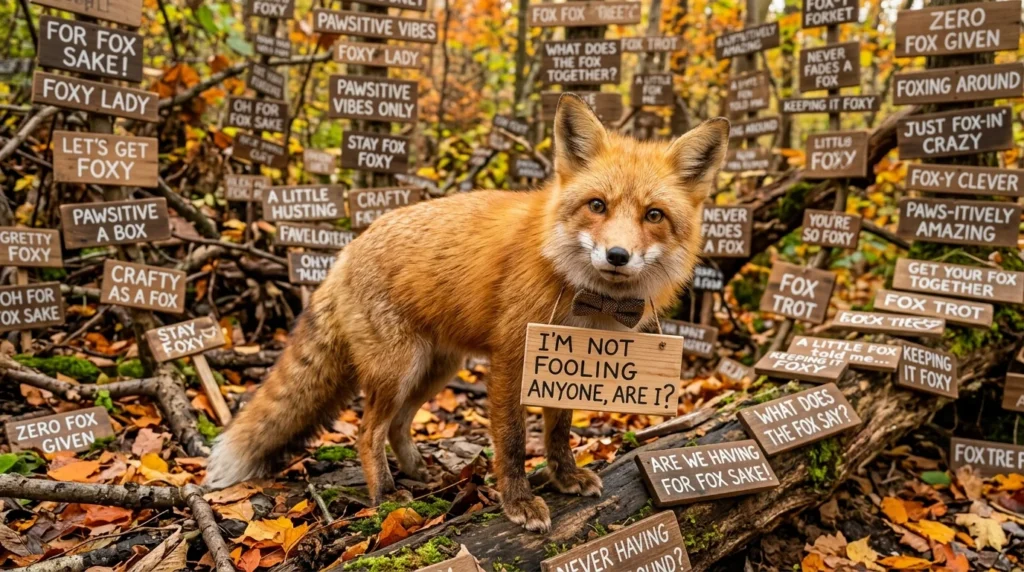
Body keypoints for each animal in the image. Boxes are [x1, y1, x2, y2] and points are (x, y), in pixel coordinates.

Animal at [205, 94, 729, 532]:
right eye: (597, 205)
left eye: (654, 215)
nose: (617, 256)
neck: (582, 292)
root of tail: (347, 249)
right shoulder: (512, 357)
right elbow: (513, 442)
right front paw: (519, 503)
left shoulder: (564, 363)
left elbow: (558, 431)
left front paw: (565, 478)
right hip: (398, 370)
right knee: (367, 432)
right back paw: (386, 499)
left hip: (436, 369)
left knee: (398, 426)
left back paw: (421, 474)